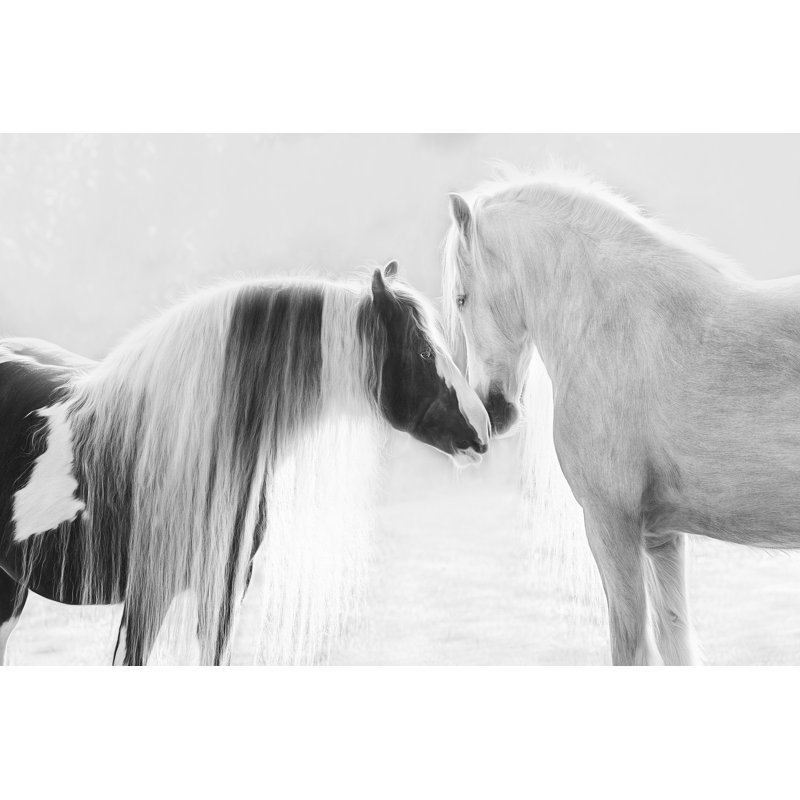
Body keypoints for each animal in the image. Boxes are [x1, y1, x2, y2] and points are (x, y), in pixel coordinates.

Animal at [443, 164, 800, 666]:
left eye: (462, 298)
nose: (492, 409)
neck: (608, 324)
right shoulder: (660, 538)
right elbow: (673, 642)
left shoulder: (611, 524)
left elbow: (630, 649)